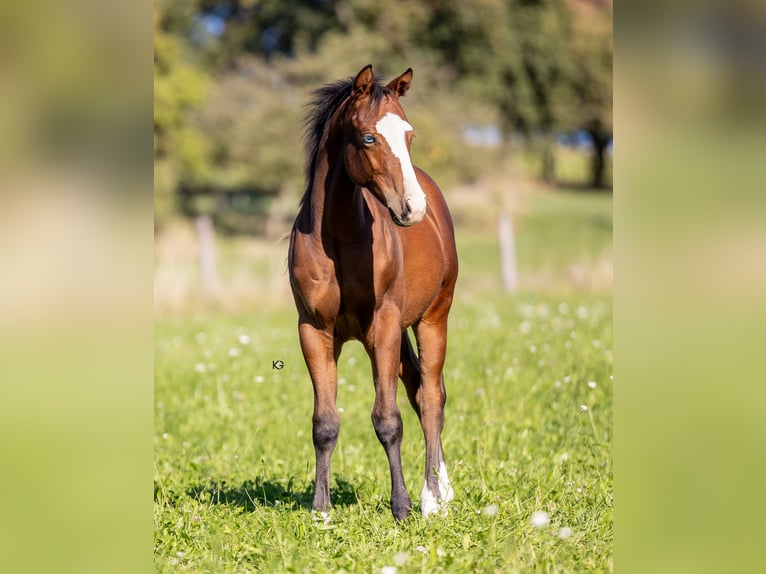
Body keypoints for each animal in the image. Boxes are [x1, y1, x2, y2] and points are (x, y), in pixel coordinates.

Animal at [288, 65, 458, 520]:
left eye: (410, 136)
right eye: (368, 138)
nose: (413, 208)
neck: (338, 237)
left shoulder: (382, 326)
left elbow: (388, 420)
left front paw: (401, 507)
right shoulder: (315, 330)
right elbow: (324, 423)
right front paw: (321, 509)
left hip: (432, 318)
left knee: (431, 396)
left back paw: (435, 497)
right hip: (398, 333)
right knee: (418, 390)